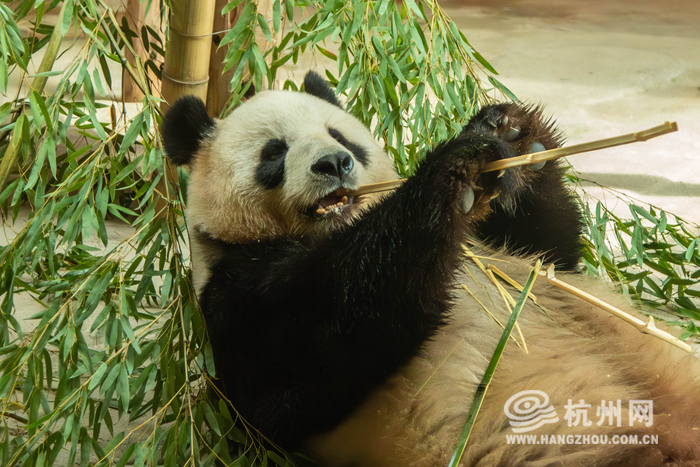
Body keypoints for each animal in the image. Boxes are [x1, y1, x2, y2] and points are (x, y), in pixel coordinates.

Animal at [160, 71, 700, 466]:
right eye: (274, 152)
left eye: (339, 136)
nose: (334, 163)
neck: (336, 228)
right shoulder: (242, 299)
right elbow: (343, 326)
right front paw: (454, 164)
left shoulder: (502, 246)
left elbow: (552, 253)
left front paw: (508, 131)